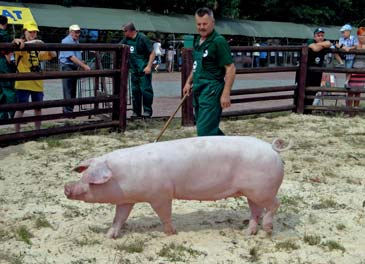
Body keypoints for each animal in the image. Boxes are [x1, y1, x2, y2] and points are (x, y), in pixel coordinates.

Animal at [64, 135, 288, 238]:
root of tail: (272, 149)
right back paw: (247, 233)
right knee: (256, 211)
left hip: (263, 190)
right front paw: (109, 236)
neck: (123, 175)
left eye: (88, 180)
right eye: (82, 175)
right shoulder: (127, 200)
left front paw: (171, 233)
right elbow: (119, 218)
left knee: (275, 204)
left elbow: (164, 214)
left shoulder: (160, 194)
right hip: (252, 192)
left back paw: (268, 230)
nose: (67, 188)